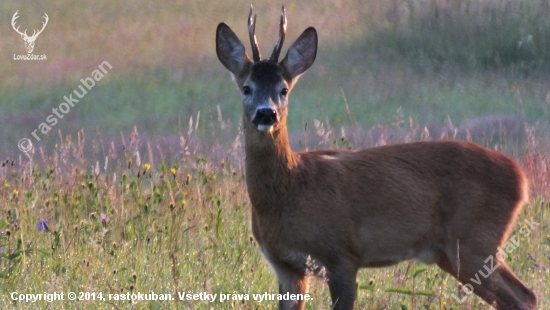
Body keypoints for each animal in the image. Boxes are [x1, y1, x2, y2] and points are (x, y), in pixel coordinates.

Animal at [215, 5, 540, 310]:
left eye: (283, 89)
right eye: (247, 88)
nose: (266, 113)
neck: (292, 188)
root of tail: (521, 178)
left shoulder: (342, 253)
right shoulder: (285, 265)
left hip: (474, 241)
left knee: (525, 296)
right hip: (454, 252)